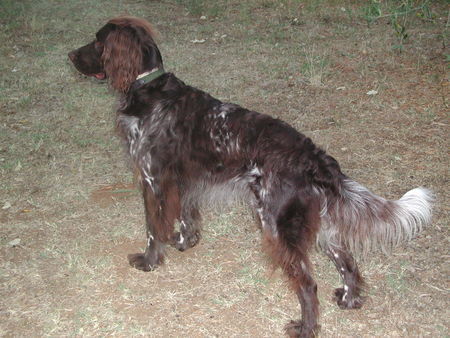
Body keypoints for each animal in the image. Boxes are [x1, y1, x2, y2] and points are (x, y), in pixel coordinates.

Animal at [68, 17, 434, 336]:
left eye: (98, 41)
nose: (69, 55)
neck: (150, 88)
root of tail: (313, 156)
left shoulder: (153, 180)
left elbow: (152, 228)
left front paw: (149, 261)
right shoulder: (184, 181)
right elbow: (186, 217)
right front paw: (185, 242)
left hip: (275, 224)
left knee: (308, 284)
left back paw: (306, 328)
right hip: (320, 226)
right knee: (348, 262)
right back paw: (349, 298)